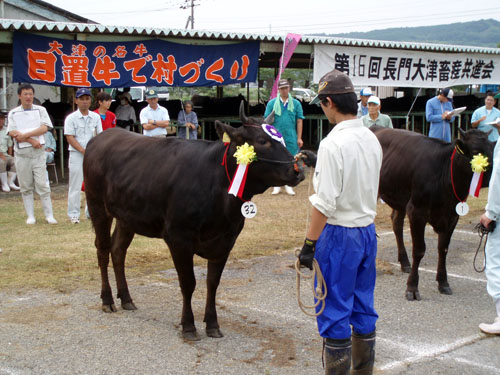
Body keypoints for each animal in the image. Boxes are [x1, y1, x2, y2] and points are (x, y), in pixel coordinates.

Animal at [83, 102, 304, 340]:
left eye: (281, 139)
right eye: (262, 141)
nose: (298, 170)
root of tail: (103, 136)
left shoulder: (226, 240)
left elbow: (213, 283)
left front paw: (213, 324)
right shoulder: (178, 238)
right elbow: (188, 283)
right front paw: (188, 326)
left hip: (127, 217)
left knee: (118, 251)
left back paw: (126, 298)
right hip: (97, 206)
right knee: (103, 250)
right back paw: (107, 300)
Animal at [372, 128, 492, 302]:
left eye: (492, 149)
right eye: (476, 152)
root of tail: (377, 128)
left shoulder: (452, 216)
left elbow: (443, 249)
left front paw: (443, 283)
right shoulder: (416, 211)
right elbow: (419, 250)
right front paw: (412, 288)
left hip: (401, 199)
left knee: (396, 223)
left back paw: (405, 262)